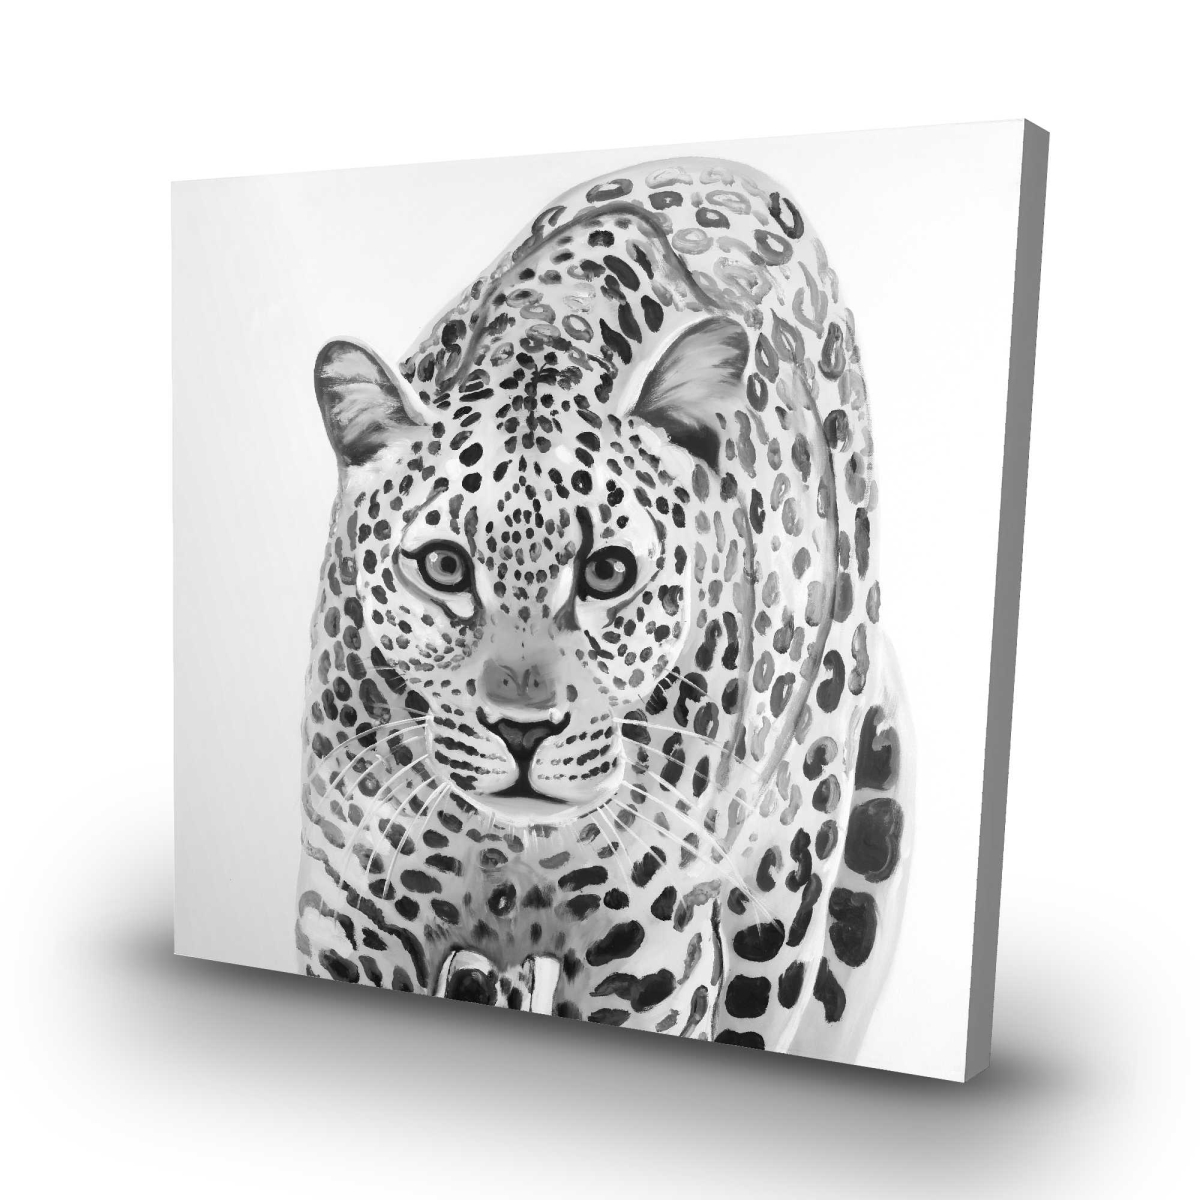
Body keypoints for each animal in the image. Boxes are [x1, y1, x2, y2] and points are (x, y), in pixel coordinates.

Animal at [294, 156, 913, 1061]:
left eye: (608, 572)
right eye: (444, 565)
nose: (522, 730)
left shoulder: (651, 952)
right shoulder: (352, 915)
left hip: (789, 875)